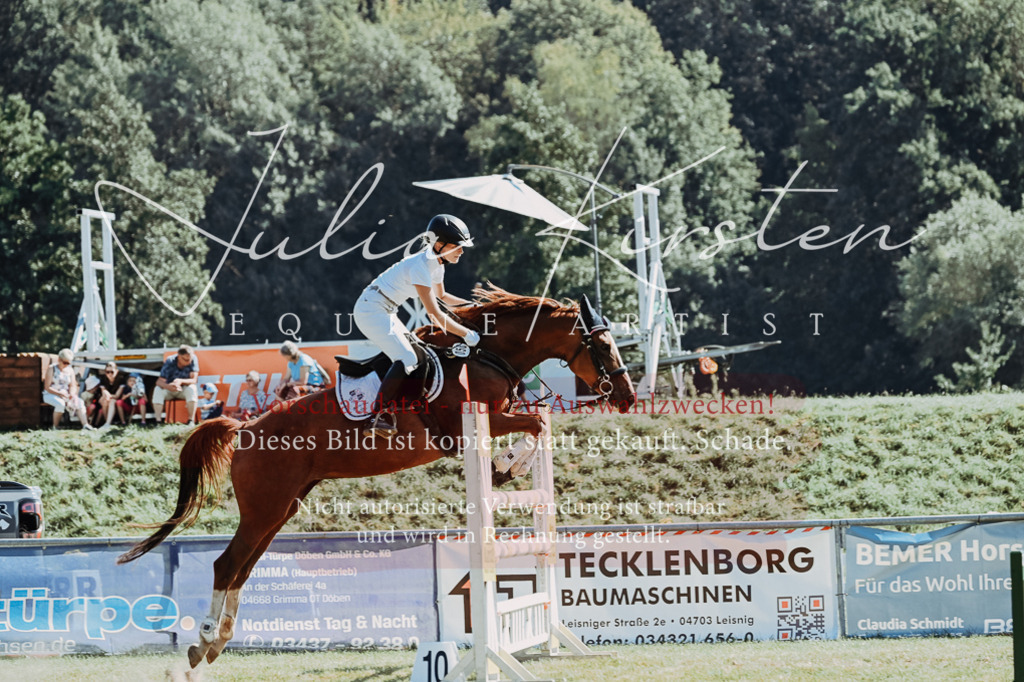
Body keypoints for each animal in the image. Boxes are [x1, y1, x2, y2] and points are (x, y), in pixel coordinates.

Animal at [117, 286, 635, 668]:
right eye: (603, 345)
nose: (628, 396)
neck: (485, 355)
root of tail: (244, 428)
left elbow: (538, 424)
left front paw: (509, 467)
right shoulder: (467, 426)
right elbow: (535, 425)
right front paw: (507, 466)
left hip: (279, 511)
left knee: (242, 568)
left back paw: (218, 642)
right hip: (265, 508)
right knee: (227, 566)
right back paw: (203, 643)